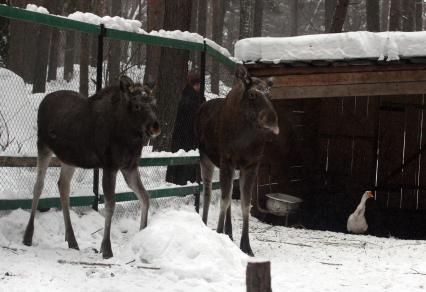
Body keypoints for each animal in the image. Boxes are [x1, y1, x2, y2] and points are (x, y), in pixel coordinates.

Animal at [22, 74, 160, 258]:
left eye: (154, 103)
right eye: (137, 105)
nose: (155, 126)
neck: (130, 137)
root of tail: (44, 100)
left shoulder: (129, 166)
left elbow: (145, 196)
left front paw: (143, 231)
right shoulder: (109, 166)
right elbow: (110, 204)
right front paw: (106, 248)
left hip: (69, 159)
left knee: (63, 186)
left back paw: (72, 240)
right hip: (43, 146)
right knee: (39, 185)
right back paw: (28, 235)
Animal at [196, 64, 280, 256]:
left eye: (270, 94)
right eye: (252, 94)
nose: (272, 120)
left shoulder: (251, 164)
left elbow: (245, 203)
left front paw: (246, 245)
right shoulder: (227, 160)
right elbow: (225, 200)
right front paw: (219, 232)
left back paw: (229, 232)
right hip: (205, 157)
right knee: (207, 191)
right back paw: (206, 225)